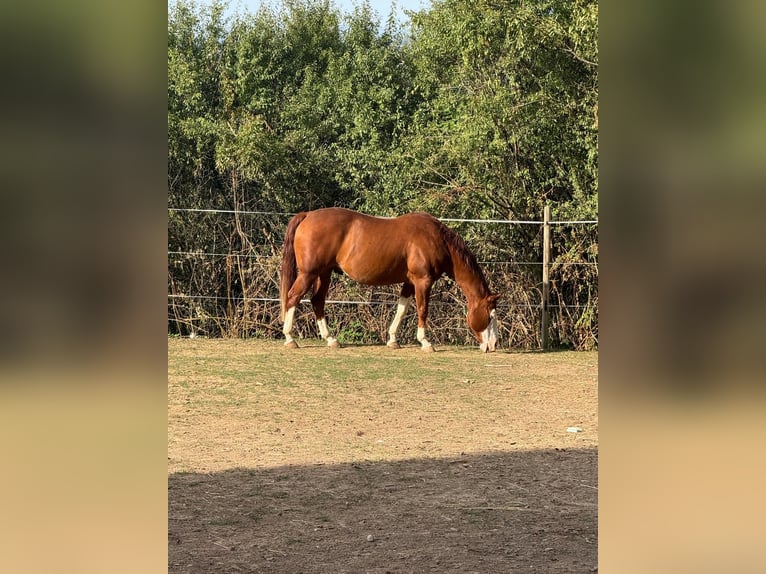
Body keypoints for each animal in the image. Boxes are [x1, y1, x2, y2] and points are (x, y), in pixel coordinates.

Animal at [279, 207, 500, 352]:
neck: (437, 240)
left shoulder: (410, 282)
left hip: (324, 273)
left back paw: (331, 339)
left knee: (317, 301)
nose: (493, 345)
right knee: (292, 298)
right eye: (490, 316)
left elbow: (401, 309)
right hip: (308, 274)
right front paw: (425, 342)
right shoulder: (423, 281)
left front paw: (393, 340)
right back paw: (290, 339)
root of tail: (308, 215)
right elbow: (422, 309)